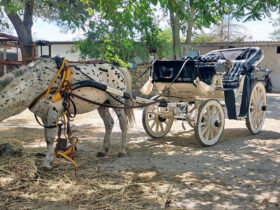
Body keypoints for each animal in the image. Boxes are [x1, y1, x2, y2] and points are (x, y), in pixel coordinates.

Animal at [0, 57, 136, 169]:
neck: (36, 82)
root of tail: (117, 68)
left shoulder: (53, 111)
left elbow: (50, 138)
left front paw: (47, 163)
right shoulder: (45, 116)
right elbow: (47, 137)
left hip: (117, 102)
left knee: (123, 123)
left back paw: (122, 150)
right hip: (102, 105)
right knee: (109, 123)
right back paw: (103, 150)